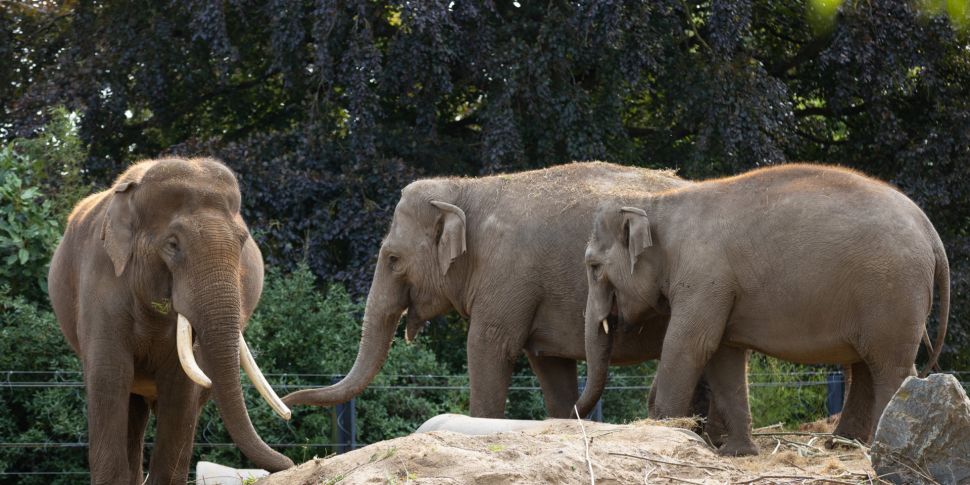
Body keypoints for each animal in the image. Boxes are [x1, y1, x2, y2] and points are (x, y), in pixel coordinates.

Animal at [50, 157, 292, 482]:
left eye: (242, 243)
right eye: (173, 245)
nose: (289, 462)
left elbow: (181, 386)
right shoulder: (100, 280)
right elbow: (109, 374)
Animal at [280, 163, 720, 420]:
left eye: (391, 258)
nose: (287, 406)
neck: (467, 190)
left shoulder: (507, 275)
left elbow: (488, 347)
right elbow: (549, 364)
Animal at [576, 163, 944, 454]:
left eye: (593, 267)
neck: (657, 204)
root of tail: (929, 229)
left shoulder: (704, 276)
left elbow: (691, 344)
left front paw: (663, 430)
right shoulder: (719, 288)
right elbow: (723, 355)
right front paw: (739, 453)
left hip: (894, 292)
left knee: (890, 365)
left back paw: (880, 450)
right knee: (867, 364)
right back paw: (843, 446)